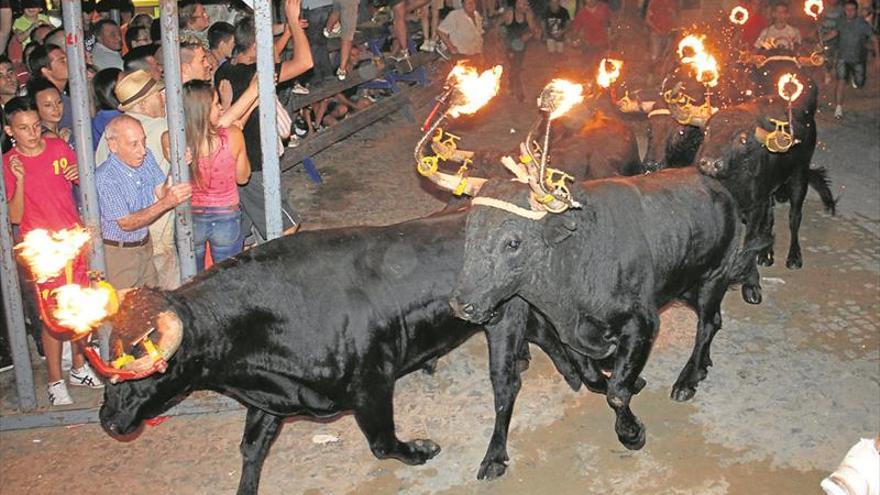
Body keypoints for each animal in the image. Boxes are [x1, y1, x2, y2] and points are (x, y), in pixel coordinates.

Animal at [96, 208, 636, 492]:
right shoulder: (272, 400)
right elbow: (250, 451)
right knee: (552, 340)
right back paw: (588, 378)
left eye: (146, 367)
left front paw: (422, 449)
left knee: (507, 385)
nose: (108, 420)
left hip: (503, 321)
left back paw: (497, 455)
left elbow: (382, 443)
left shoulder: (372, 384)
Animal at [454, 169, 748, 452]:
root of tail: (716, 186)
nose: (461, 304)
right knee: (713, 320)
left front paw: (631, 432)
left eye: (513, 242)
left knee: (707, 324)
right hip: (685, 284)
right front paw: (633, 383)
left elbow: (616, 391)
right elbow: (593, 378)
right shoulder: (569, 336)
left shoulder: (642, 323)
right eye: (468, 235)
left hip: (714, 275)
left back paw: (687, 380)